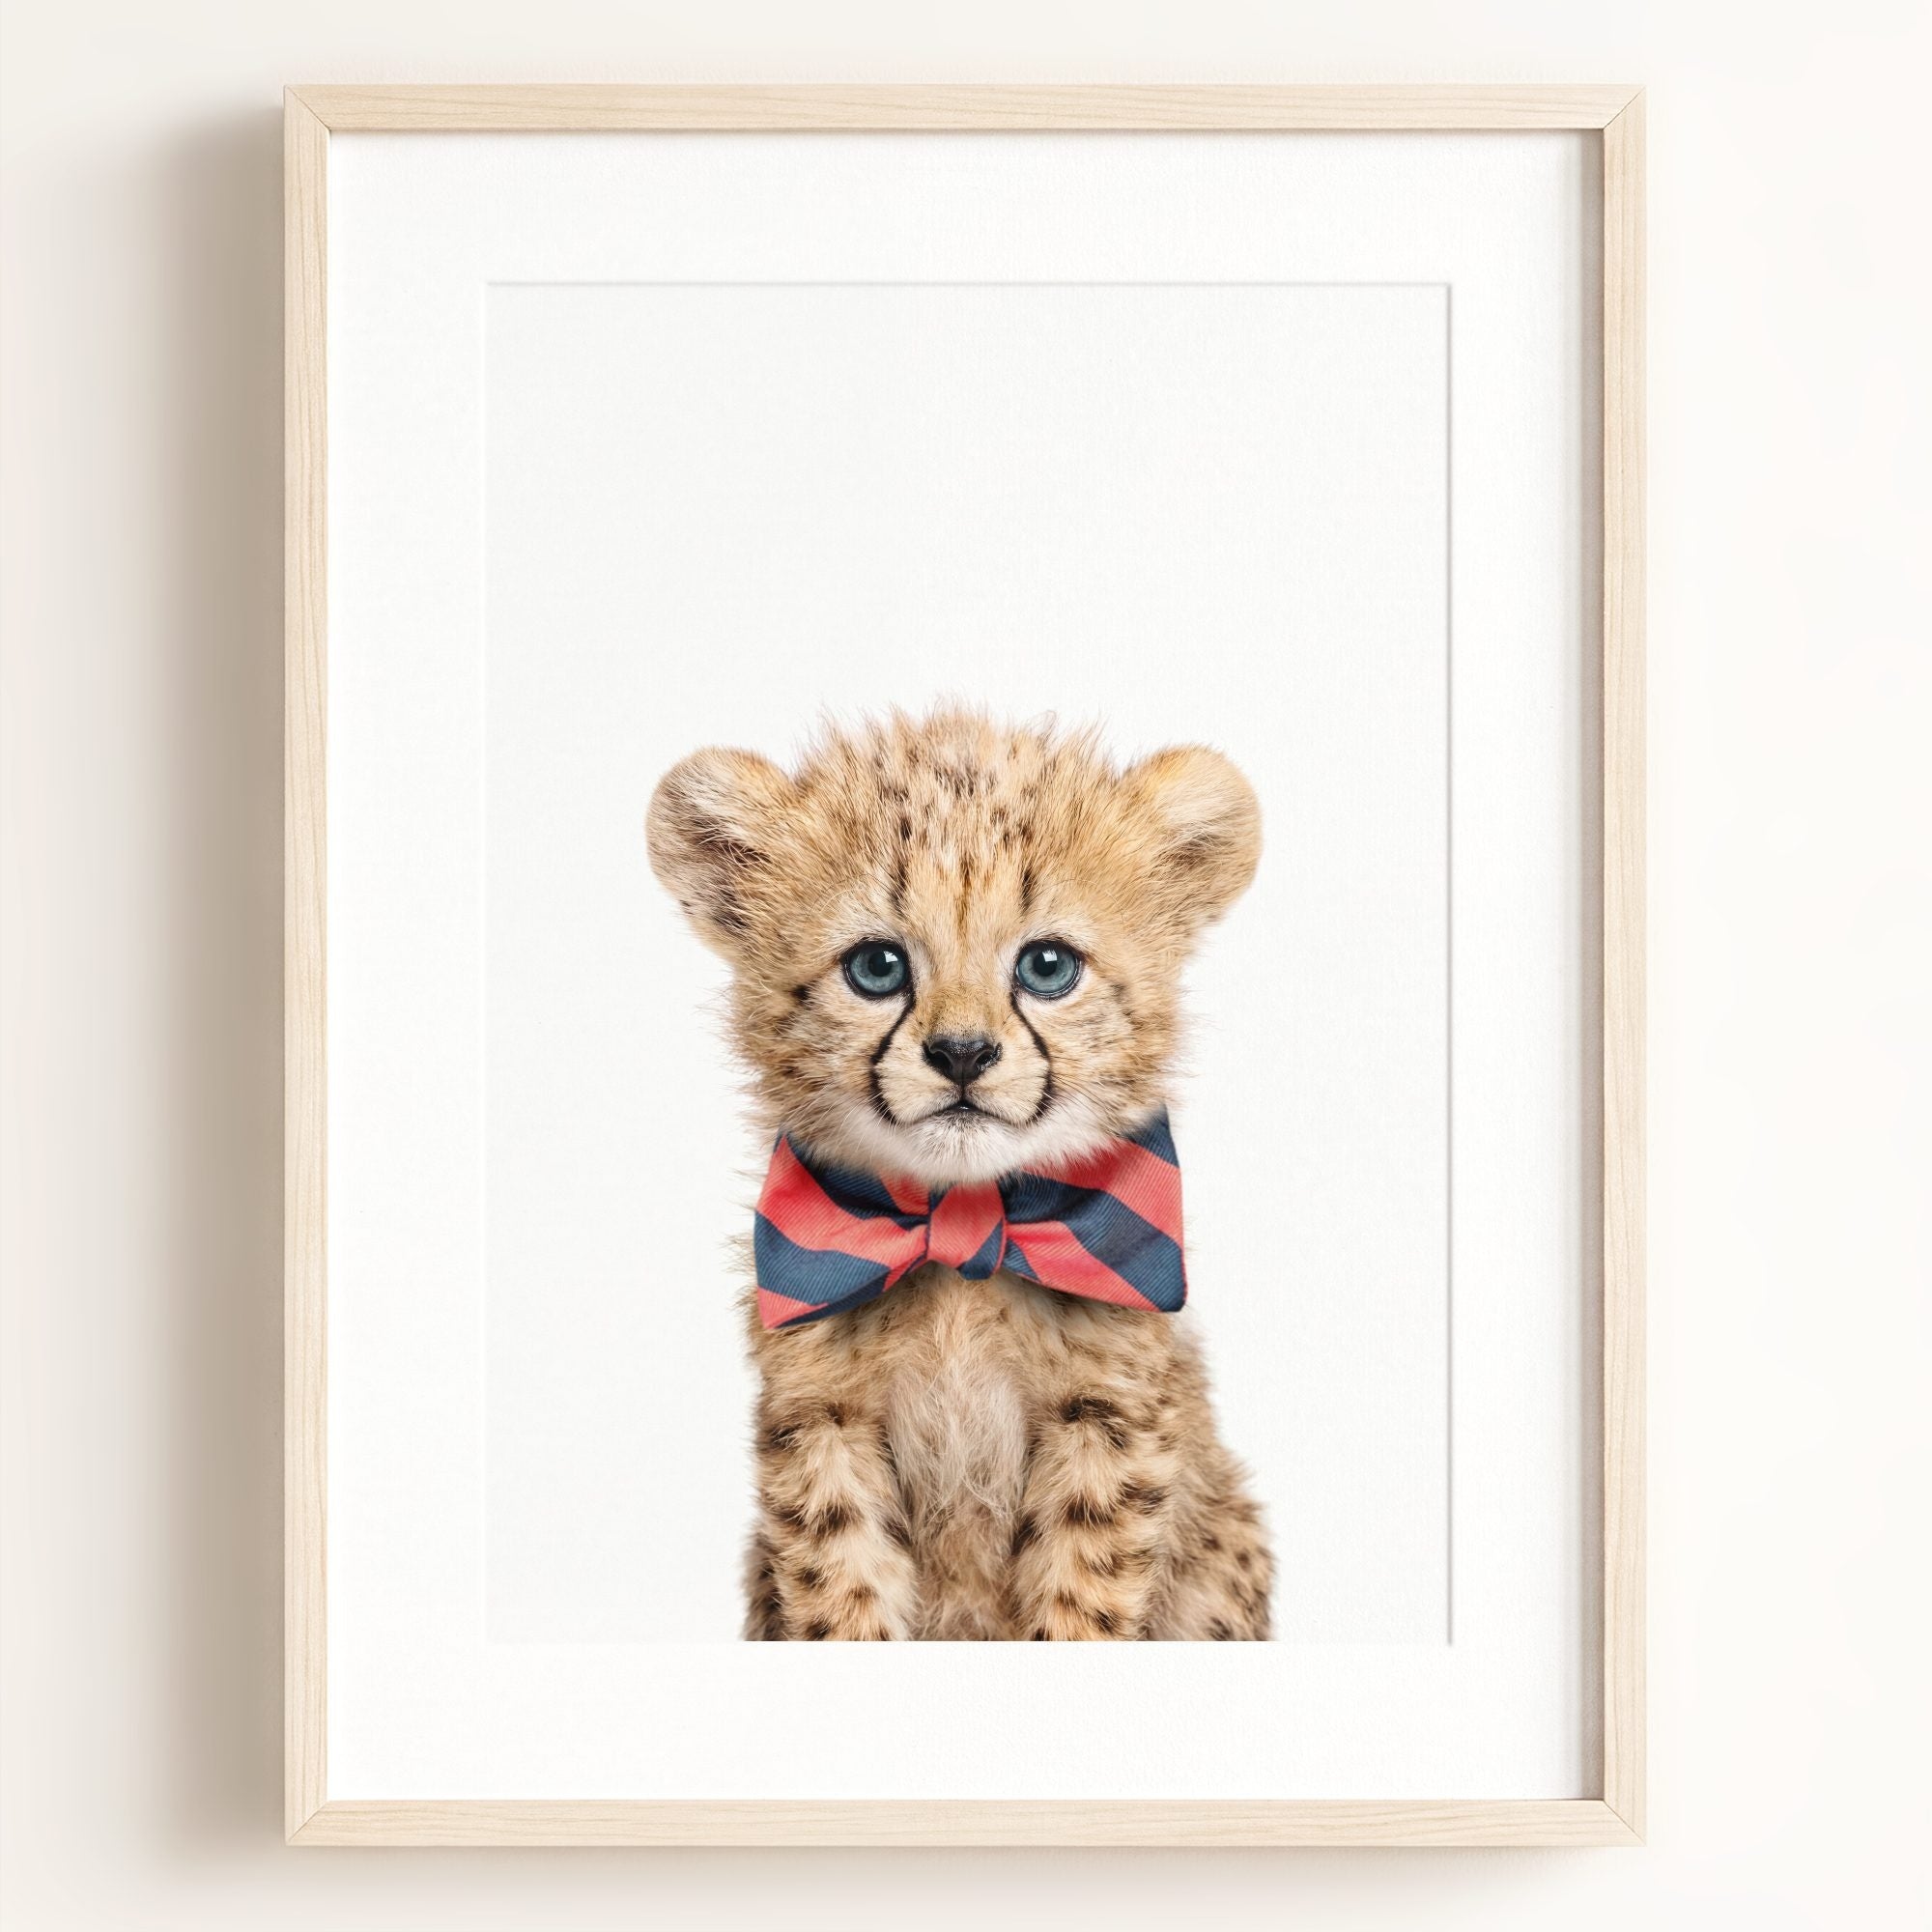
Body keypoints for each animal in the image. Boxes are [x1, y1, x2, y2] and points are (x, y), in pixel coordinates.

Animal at [647, 706, 1272, 1639]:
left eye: (1048, 967)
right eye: (877, 967)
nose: (963, 1053)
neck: (964, 1237)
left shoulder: (1107, 1420)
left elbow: (1082, 1600)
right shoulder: (821, 1421)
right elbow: (842, 1595)